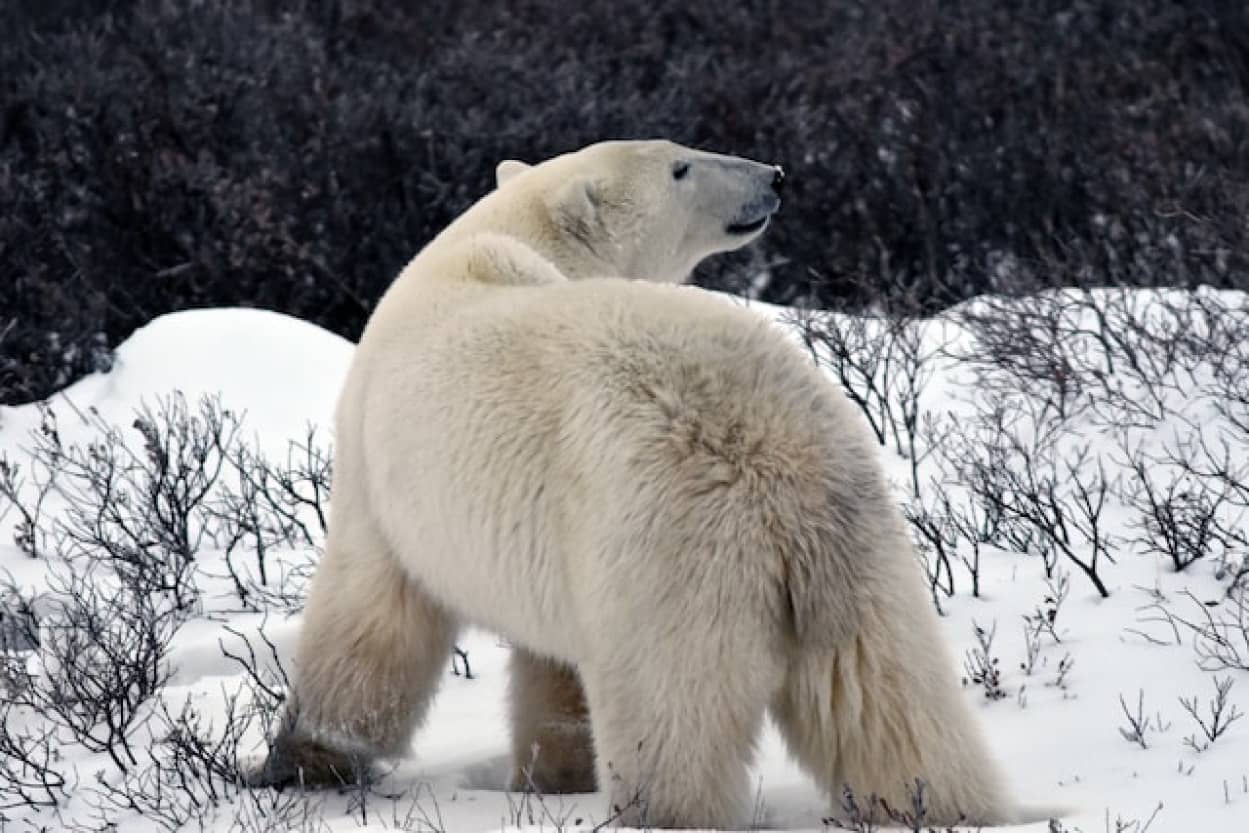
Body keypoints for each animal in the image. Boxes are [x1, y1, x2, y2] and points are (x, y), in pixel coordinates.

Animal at [251, 138, 1024, 829]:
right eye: (681, 164)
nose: (774, 175)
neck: (505, 241)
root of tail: (778, 459)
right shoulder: (553, 537)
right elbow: (553, 670)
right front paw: (552, 775)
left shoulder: (378, 472)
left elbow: (369, 615)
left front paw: (303, 760)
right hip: (859, 546)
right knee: (886, 699)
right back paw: (946, 806)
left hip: (668, 552)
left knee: (672, 717)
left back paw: (658, 813)